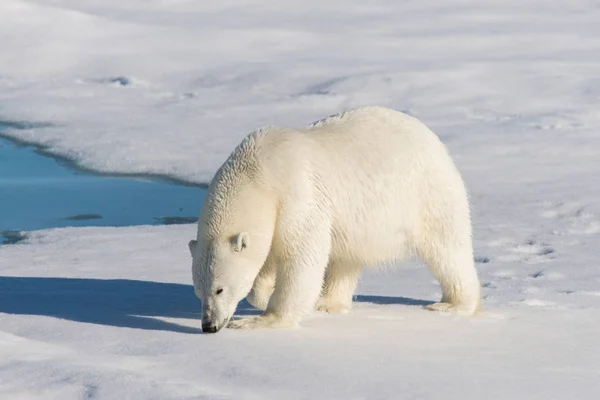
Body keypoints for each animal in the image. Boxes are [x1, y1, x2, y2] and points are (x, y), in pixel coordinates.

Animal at [190, 105, 480, 332]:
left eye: (219, 289)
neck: (258, 174)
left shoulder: (297, 196)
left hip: (427, 193)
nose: (209, 326)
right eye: (198, 289)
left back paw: (452, 304)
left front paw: (262, 319)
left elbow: (302, 256)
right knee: (346, 257)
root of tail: (432, 138)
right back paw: (327, 303)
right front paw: (267, 292)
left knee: (446, 248)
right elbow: (268, 259)